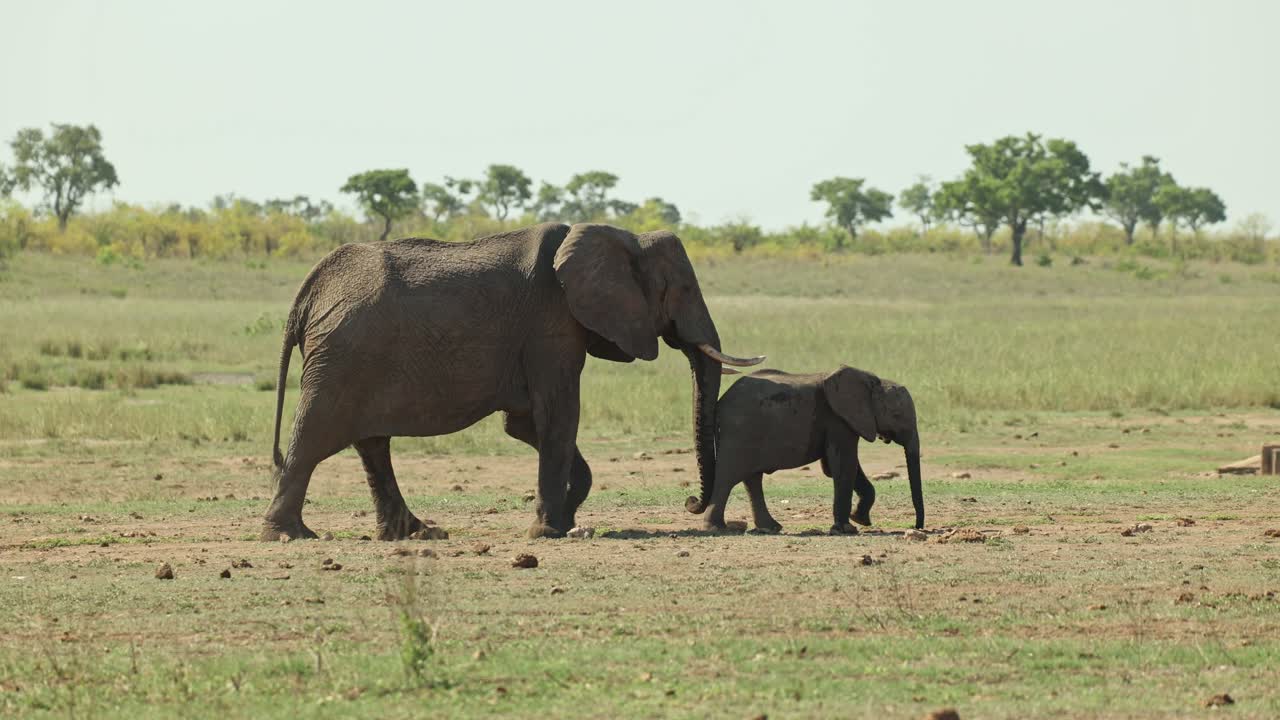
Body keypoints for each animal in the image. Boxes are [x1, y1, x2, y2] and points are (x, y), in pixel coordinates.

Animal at [261, 222, 763, 541]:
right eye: (684, 290)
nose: (690, 503)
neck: (623, 236)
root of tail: (308, 294)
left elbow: (526, 425)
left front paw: (566, 518)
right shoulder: (552, 324)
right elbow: (559, 414)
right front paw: (550, 531)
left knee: (371, 445)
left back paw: (419, 533)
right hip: (342, 357)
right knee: (317, 436)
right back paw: (291, 535)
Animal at [685, 366, 923, 533]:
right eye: (897, 415)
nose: (916, 526)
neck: (873, 381)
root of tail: (719, 403)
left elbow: (839, 467)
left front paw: (859, 519)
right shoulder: (838, 420)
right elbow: (843, 465)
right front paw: (847, 529)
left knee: (752, 478)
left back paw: (770, 528)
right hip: (738, 433)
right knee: (728, 477)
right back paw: (717, 528)